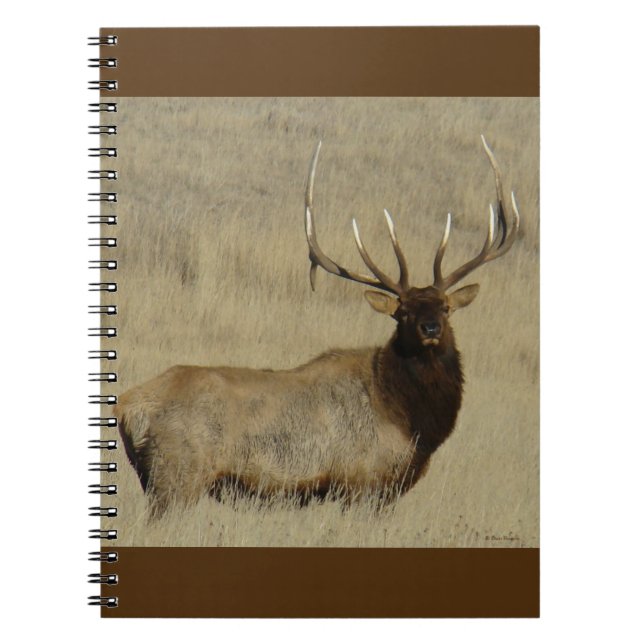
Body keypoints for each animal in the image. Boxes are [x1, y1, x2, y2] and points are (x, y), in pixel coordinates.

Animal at [116, 136, 519, 517]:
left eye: (446, 307)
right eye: (402, 312)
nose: (431, 328)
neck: (409, 421)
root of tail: (128, 407)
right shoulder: (361, 482)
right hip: (177, 476)